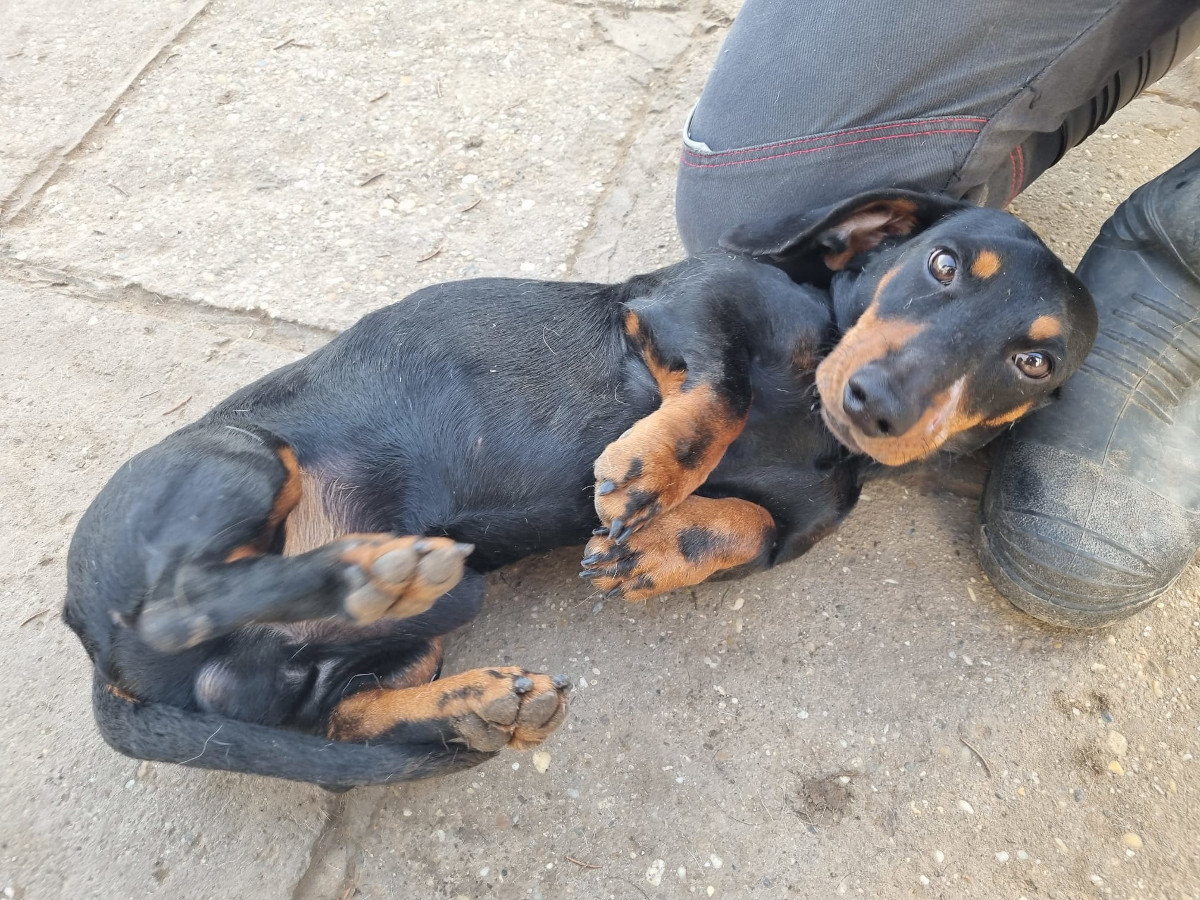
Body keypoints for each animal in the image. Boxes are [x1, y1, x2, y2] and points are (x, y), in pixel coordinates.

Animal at [64, 189, 1097, 789]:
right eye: (941, 264)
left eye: (1035, 360)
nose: (877, 406)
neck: (810, 410)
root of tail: (92, 643)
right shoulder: (683, 307)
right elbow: (720, 389)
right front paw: (650, 473)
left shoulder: (790, 526)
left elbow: (744, 525)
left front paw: (658, 547)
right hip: (242, 459)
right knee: (183, 597)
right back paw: (373, 577)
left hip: (407, 634)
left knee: (340, 710)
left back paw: (475, 702)